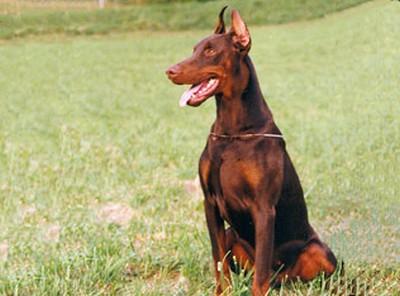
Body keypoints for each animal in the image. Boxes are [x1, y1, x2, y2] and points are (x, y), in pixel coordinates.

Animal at [166, 7, 338, 296]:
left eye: (210, 51)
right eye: (194, 49)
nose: (170, 71)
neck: (233, 130)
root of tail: (284, 279)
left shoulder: (263, 208)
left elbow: (259, 278)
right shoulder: (210, 203)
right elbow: (219, 263)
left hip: (319, 251)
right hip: (231, 236)